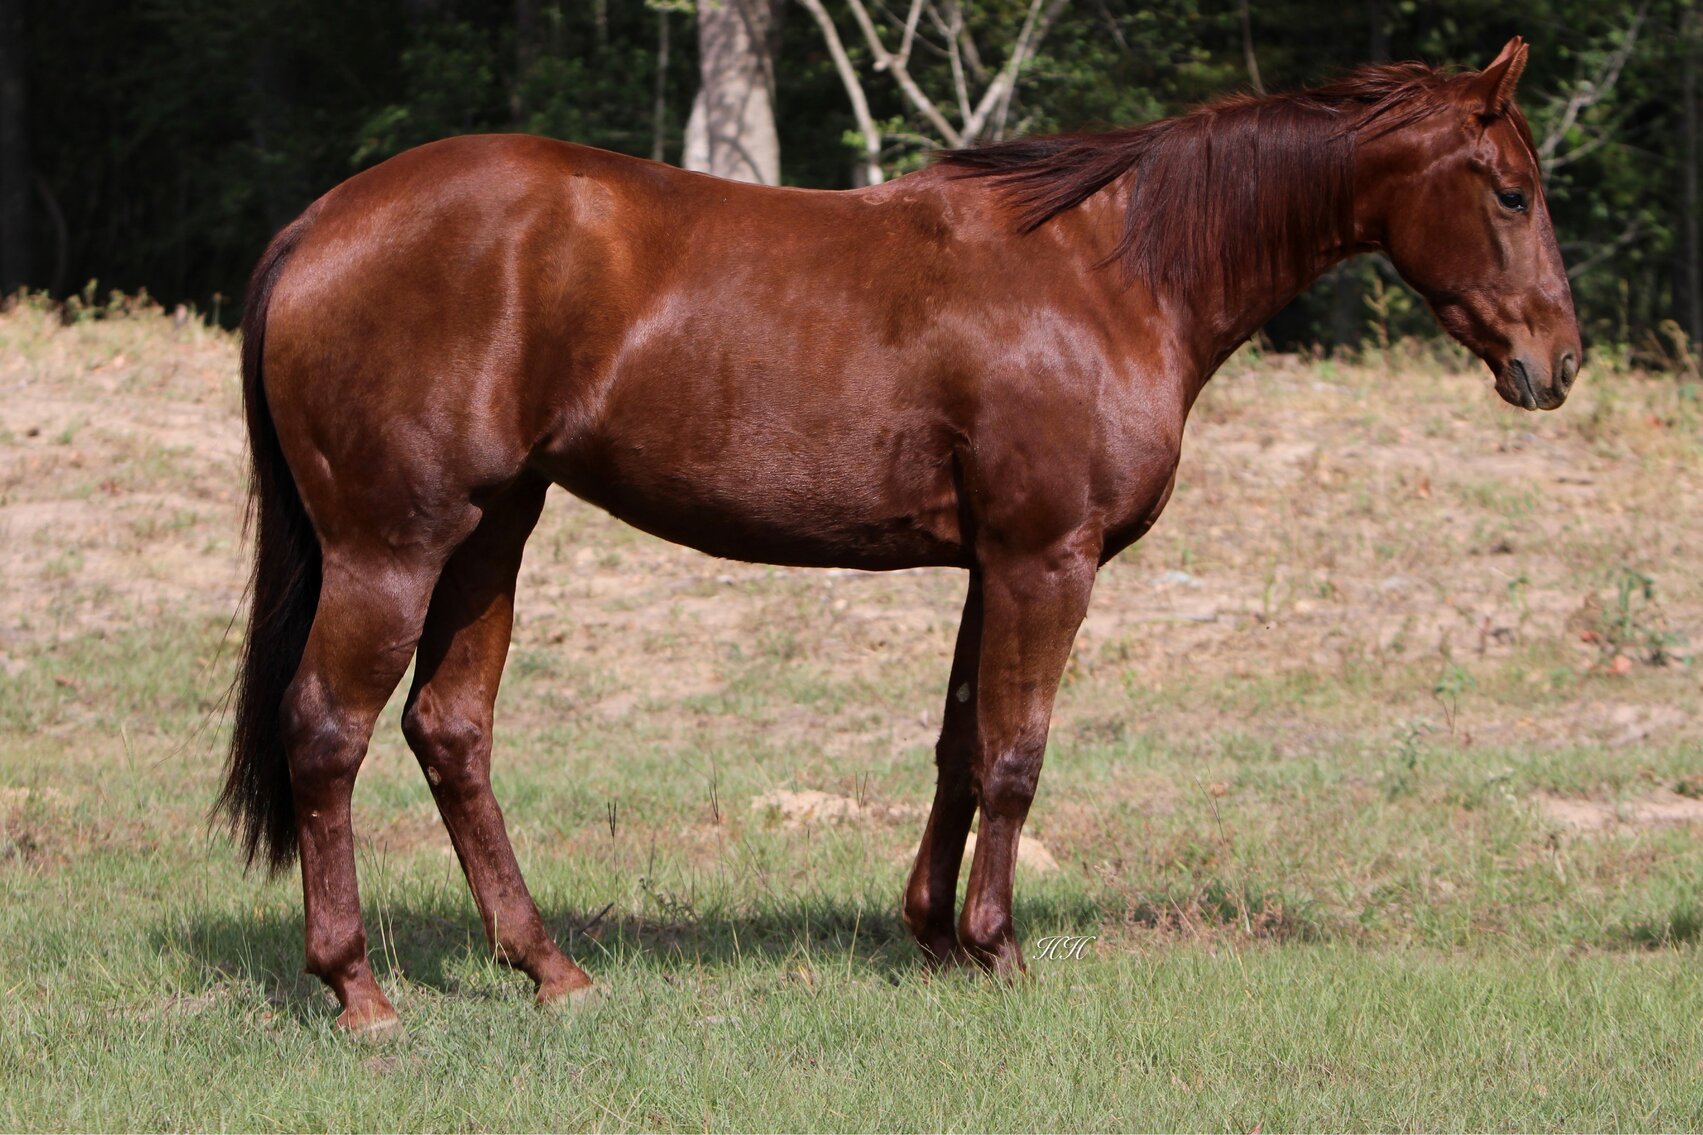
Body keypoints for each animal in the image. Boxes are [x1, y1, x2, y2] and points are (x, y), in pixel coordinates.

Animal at [218, 37, 1579, 1033]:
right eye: (1510, 191)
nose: (1555, 362)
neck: (1106, 274)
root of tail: (318, 226)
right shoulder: (1045, 561)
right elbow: (1016, 754)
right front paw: (998, 948)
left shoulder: (992, 565)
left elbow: (959, 746)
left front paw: (931, 934)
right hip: (394, 548)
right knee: (328, 733)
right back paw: (358, 990)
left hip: (490, 535)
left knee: (451, 732)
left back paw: (547, 967)